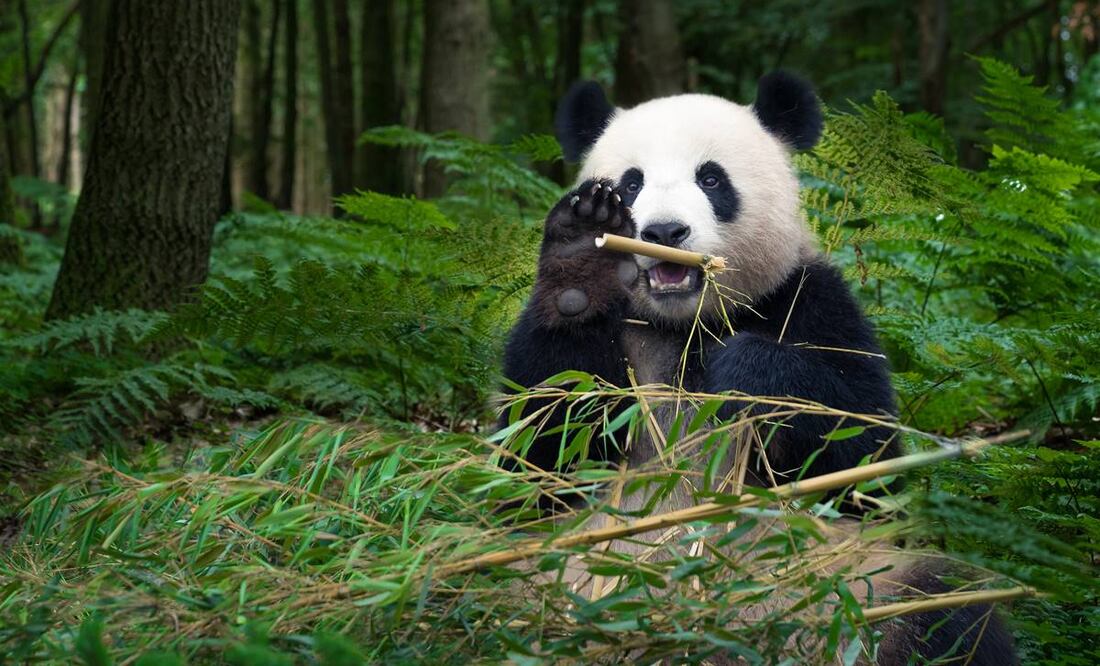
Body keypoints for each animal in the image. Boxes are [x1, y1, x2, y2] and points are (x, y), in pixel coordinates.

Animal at [500, 72, 1017, 664]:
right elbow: (539, 457)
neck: (684, 326)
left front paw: (745, 371)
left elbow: (865, 465)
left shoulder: (812, 302)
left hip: (845, 591)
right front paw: (581, 254)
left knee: (944, 611)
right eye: (631, 184)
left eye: (711, 179)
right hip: (537, 581)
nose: (664, 232)